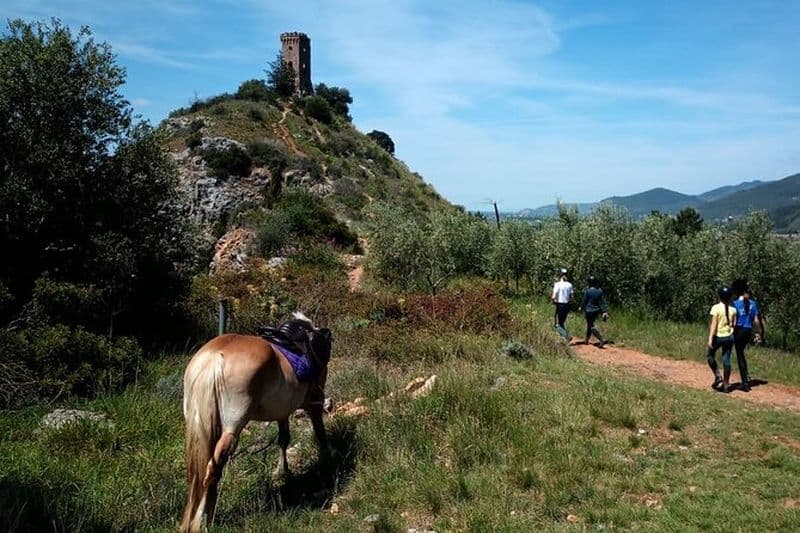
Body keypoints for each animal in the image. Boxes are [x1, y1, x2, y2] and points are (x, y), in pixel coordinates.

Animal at [179, 312, 332, 533]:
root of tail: (213, 359)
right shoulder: (313, 403)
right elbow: (319, 432)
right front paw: (327, 459)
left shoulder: (282, 412)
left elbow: (283, 439)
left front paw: (282, 472)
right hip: (232, 427)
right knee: (213, 470)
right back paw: (205, 520)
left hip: (200, 425)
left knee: (199, 474)